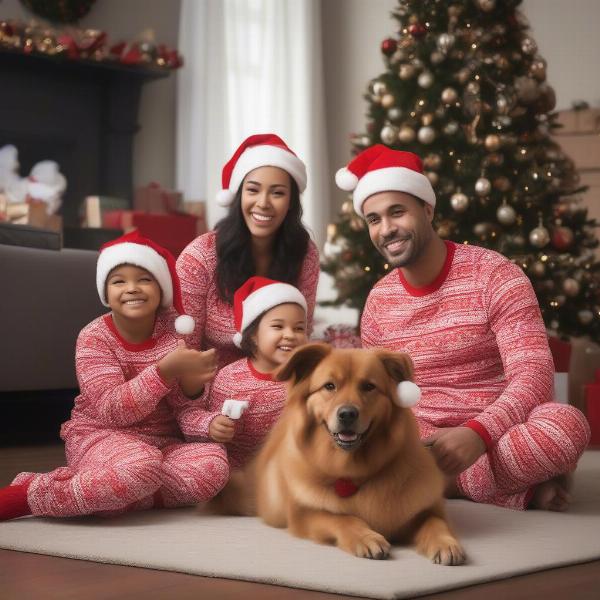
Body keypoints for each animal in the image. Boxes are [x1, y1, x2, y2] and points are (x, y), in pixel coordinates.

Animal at [213, 342, 466, 564]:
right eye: (329, 386)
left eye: (369, 386)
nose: (347, 414)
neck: (353, 472)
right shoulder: (303, 514)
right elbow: (342, 518)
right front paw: (367, 537)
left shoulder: (424, 510)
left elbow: (435, 523)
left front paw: (445, 543)